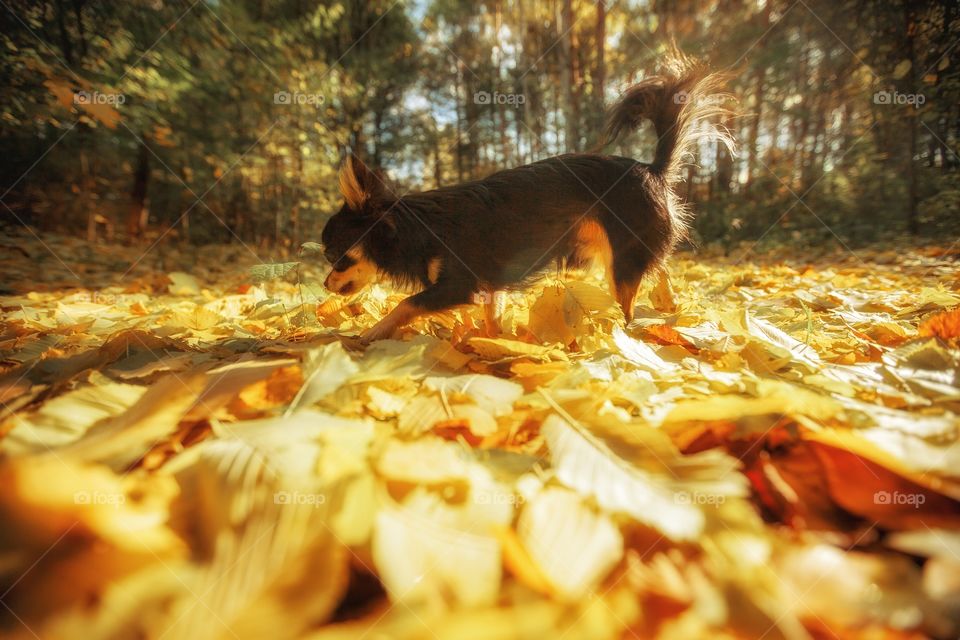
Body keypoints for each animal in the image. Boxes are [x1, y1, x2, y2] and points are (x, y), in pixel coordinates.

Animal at [322, 56, 736, 344]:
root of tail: (653, 169)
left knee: (631, 298)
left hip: (621, 259)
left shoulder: (459, 285)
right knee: (660, 262)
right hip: (611, 250)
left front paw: (372, 332)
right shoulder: (489, 286)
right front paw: (493, 342)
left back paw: (624, 330)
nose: (325, 284)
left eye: (335, 257)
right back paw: (666, 299)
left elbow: (407, 303)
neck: (415, 227)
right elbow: (492, 316)